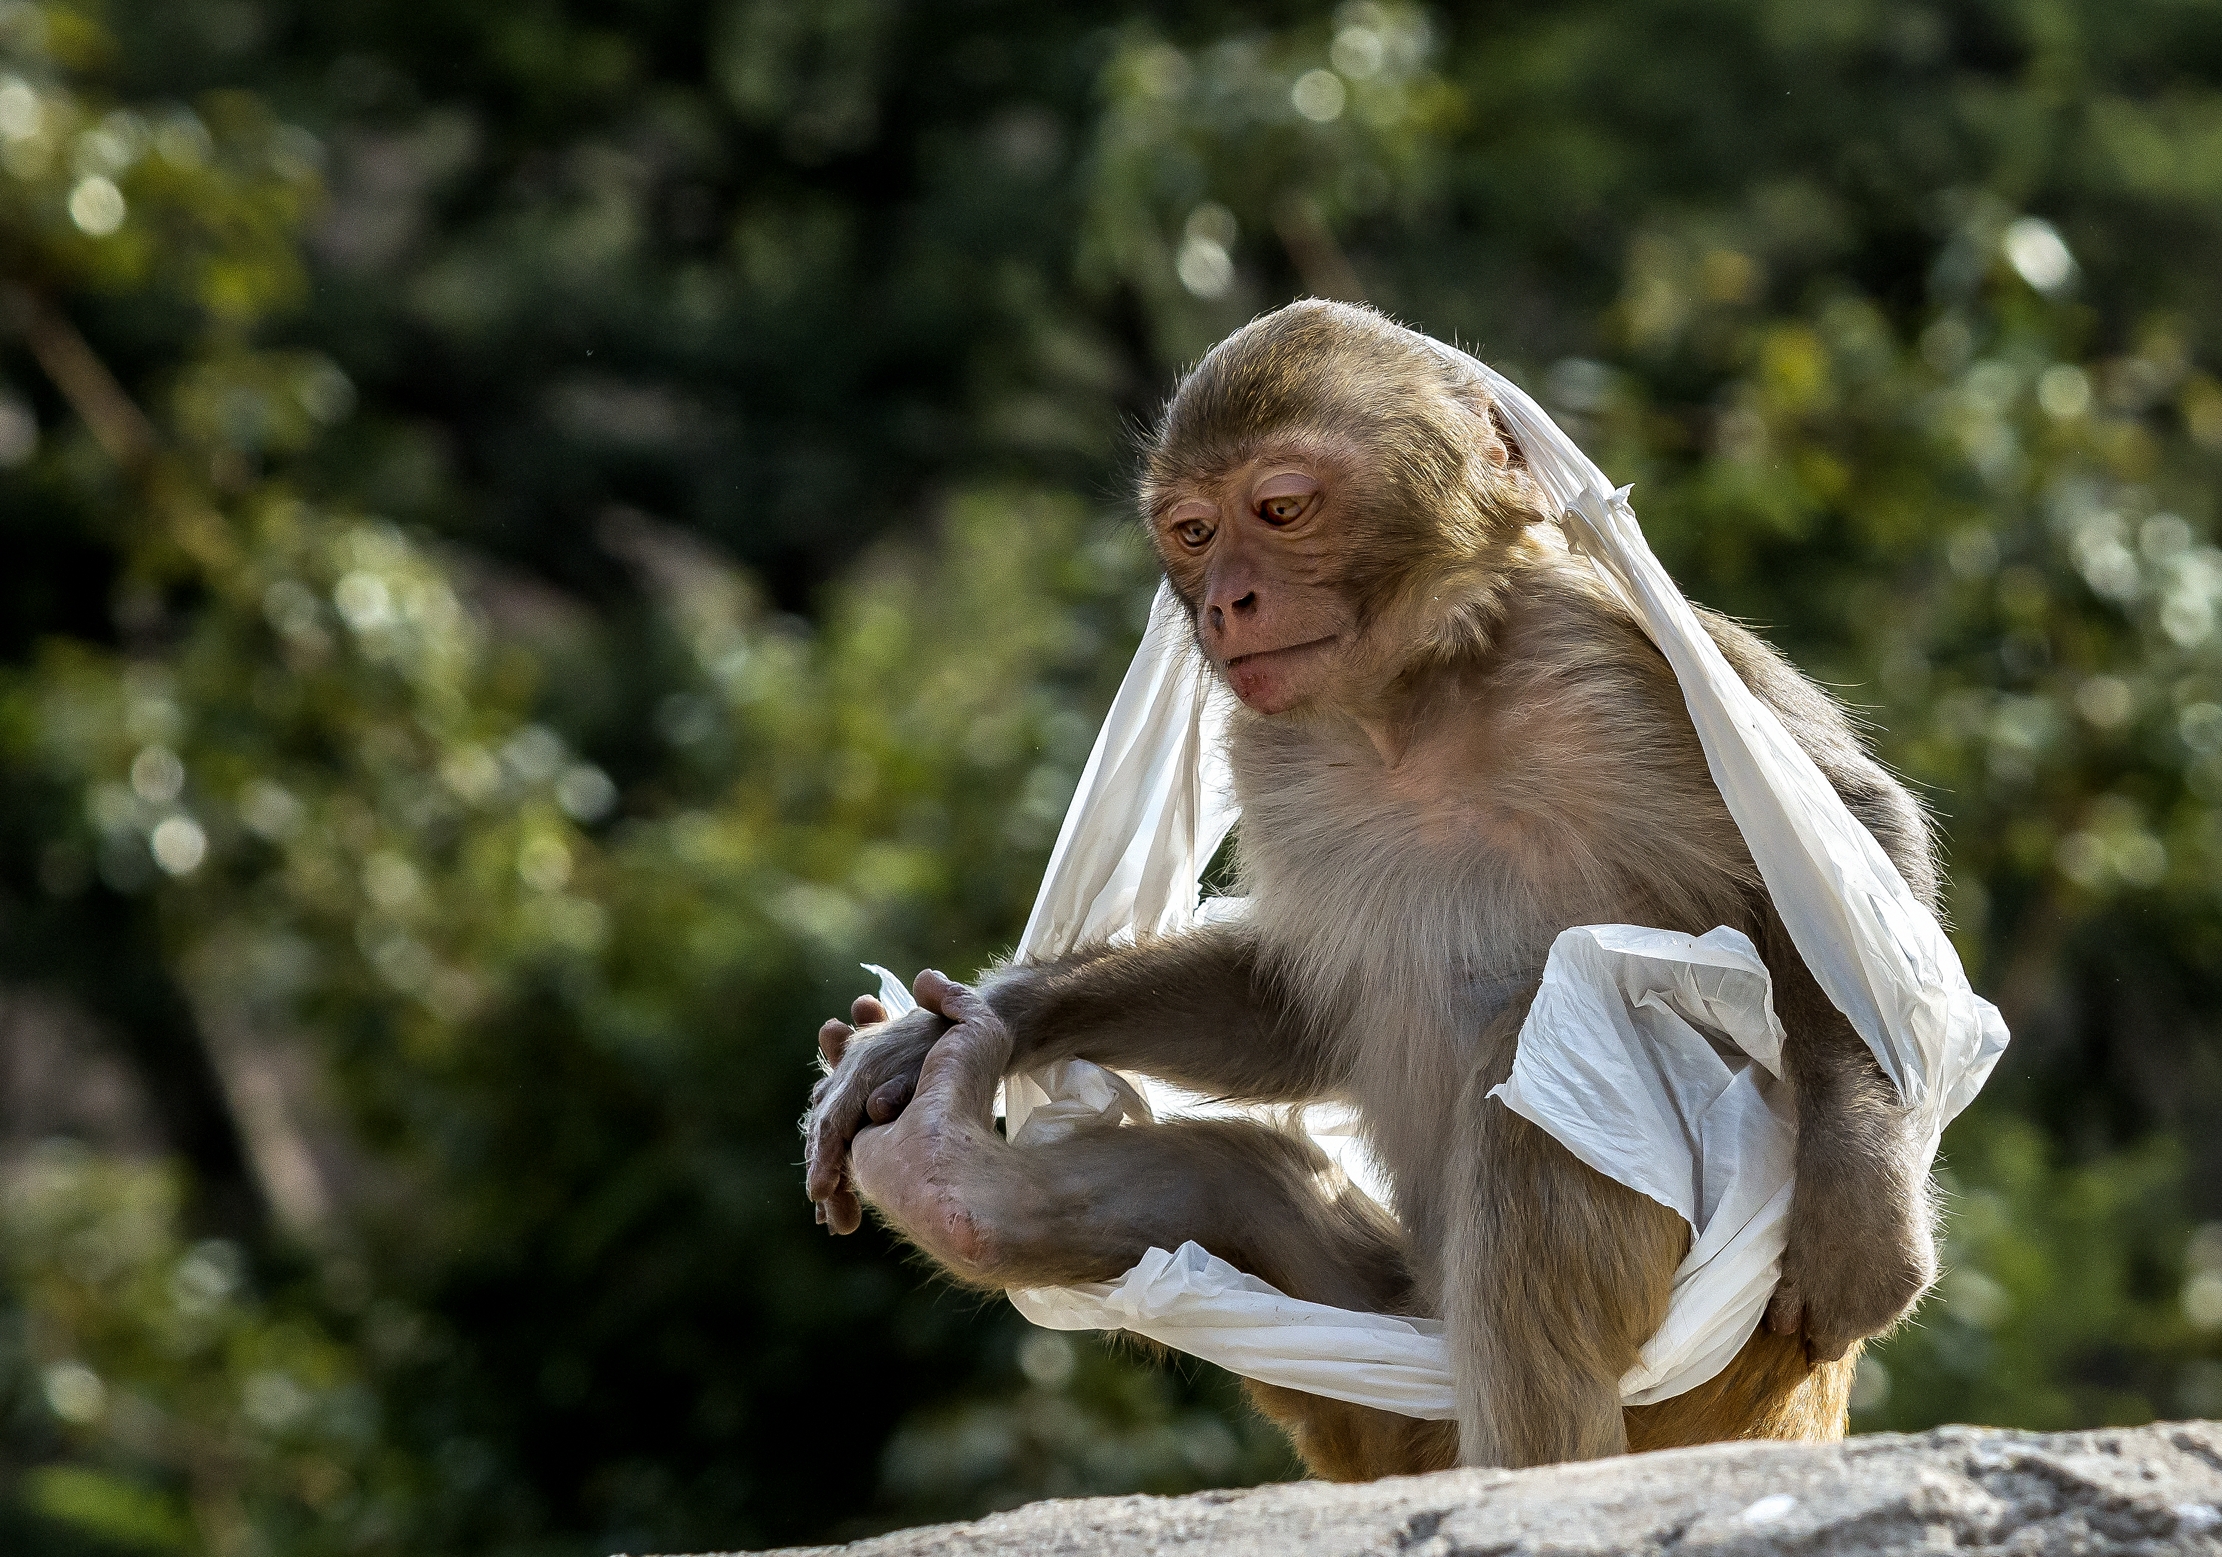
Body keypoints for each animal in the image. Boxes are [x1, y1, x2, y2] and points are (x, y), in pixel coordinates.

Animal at [803, 299, 1938, 1479]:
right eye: (1193, 532)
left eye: (1279, 509)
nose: (1227, 602)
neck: (1415, 703)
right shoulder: (1273, 749)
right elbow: (1285, 1008)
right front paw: (976, 1022)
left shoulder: (1609, 658)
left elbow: (1846, 861)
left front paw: (1864, 1204)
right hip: (1392, 1382)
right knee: (1247, 1191)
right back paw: (949, 1182)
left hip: (1708, 1387)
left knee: (1560, 1048)